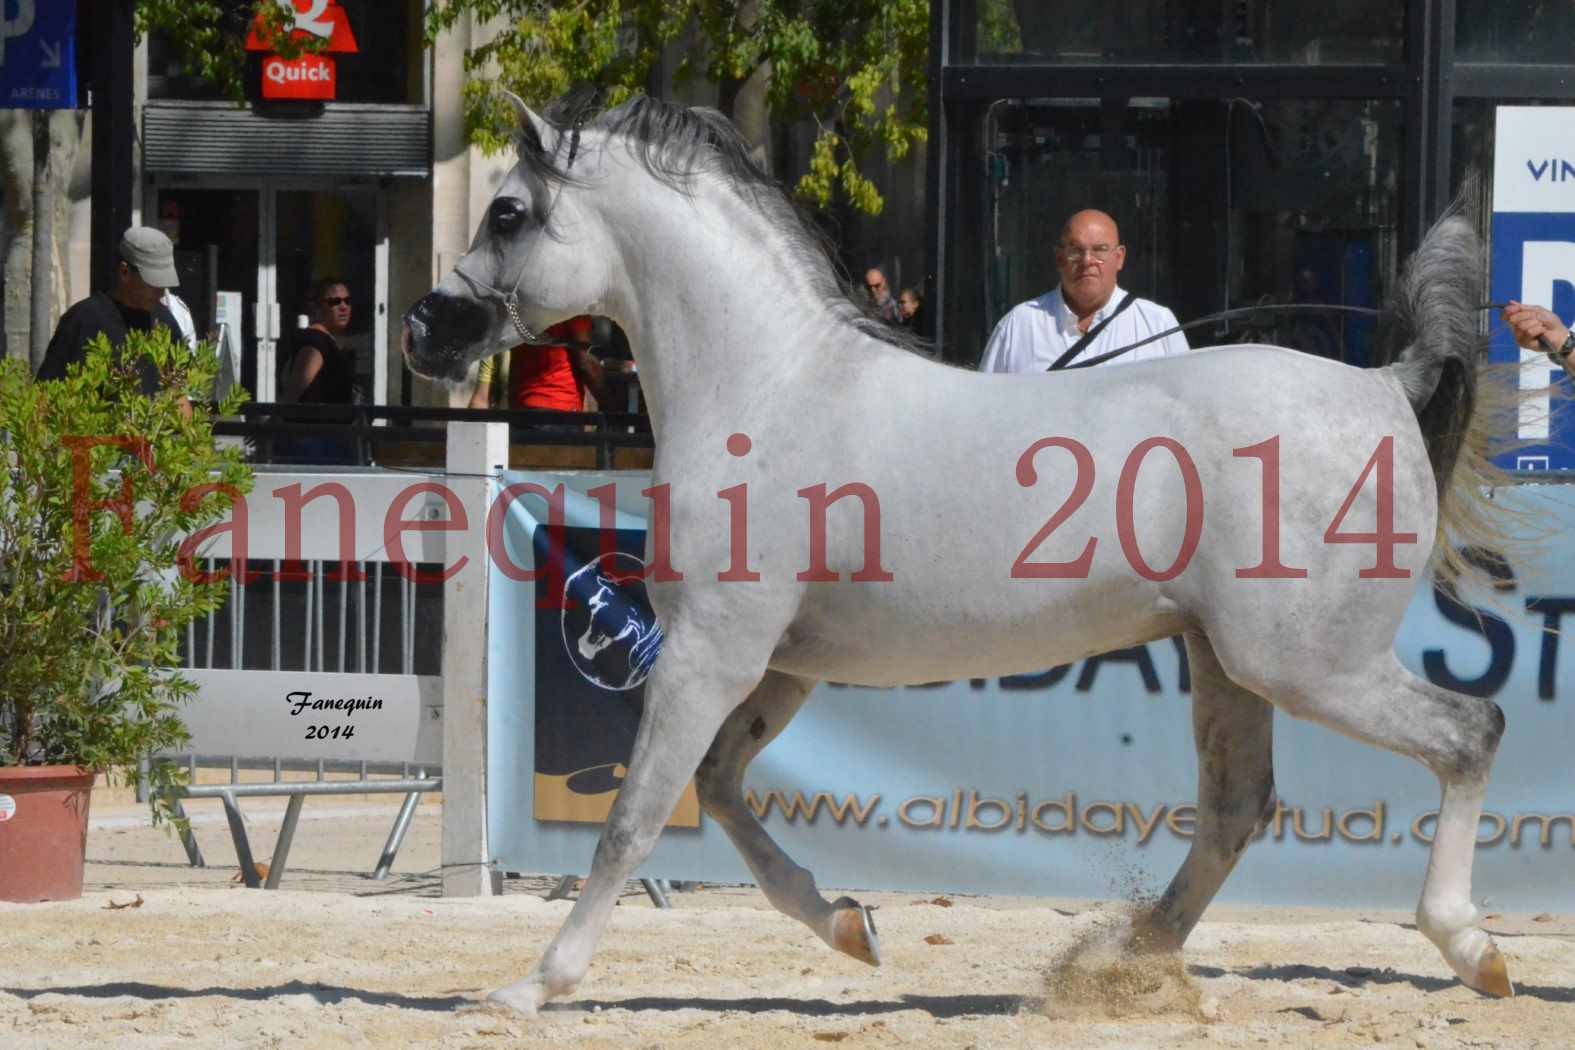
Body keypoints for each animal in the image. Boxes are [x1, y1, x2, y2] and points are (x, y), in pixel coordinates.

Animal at [406, 94, 1512, 1013]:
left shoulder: (710, 653)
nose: (424, 330)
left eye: (507, 213)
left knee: (1470, 733)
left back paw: (1471, 948)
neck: (770, 386)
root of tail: (1383, 385)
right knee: (1236, 808)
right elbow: (718, 791)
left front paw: (531, 988)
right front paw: (850, 927)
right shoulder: (777, 665)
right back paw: (1120, 965)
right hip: (1228, 662)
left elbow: (636, 816)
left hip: (1306, 663)